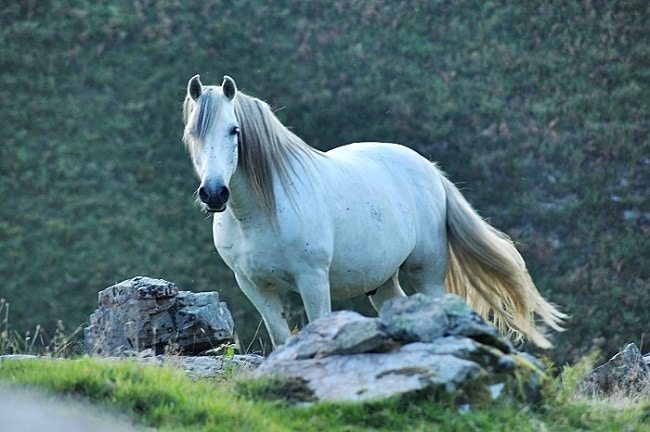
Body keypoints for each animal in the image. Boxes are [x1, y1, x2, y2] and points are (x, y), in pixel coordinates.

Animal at [181, 75, 560, 348]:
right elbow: (280, 337)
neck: (261, 212)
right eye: (192, 133)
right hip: (381, 281)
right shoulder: (253, 285)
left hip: (427, 271)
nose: (214, 193)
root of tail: (430, 170)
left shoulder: (313, 279)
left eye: (234, 130)